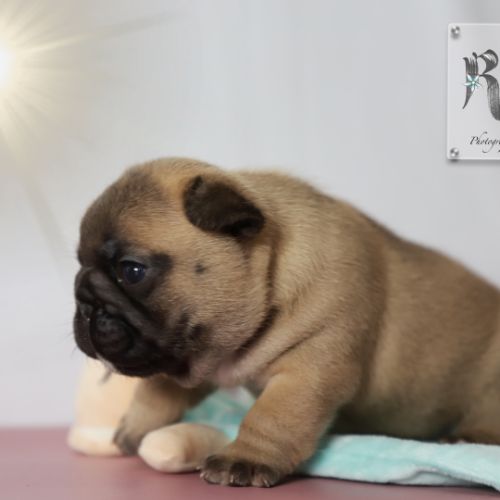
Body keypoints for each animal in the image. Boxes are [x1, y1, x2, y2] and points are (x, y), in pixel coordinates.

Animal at [73, 157, 500, 487]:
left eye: (132, 271)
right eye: (79, 264)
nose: (84, 300)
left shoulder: (307, 370)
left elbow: (272, 417)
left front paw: (245, 459)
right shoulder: (186, 356)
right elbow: (158, 391)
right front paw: (134, 427)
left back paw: (465, 438)